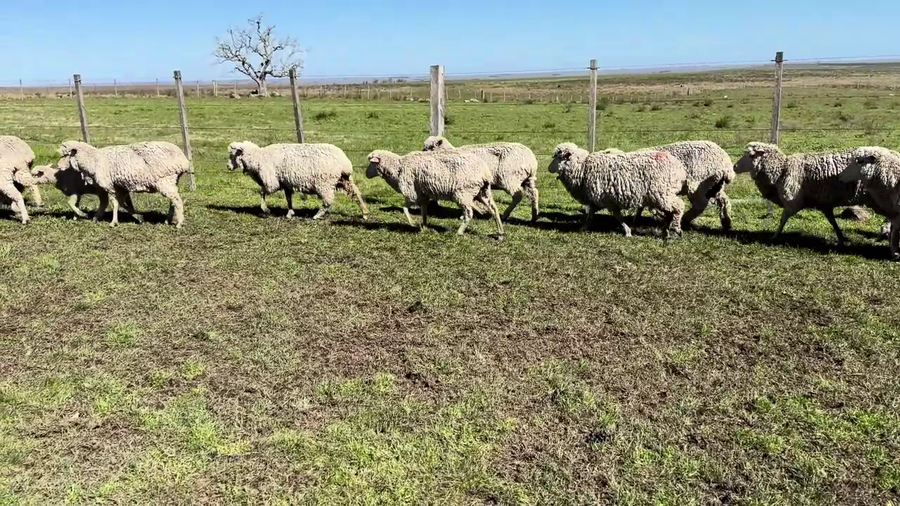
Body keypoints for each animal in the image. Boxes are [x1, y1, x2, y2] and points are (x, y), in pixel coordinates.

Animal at [56, 140, 190, 228]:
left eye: (66, 155)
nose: (57, 165)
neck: (94, 160)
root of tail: (183, 160)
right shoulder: (121, 187)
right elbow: (124, 204)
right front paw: (138, 217)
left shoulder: (110, 186)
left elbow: (114, 203)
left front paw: (113, 222)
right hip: (172, 181)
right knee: (173, 201)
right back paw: (168, 220)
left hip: (165, 180)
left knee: (177, 201)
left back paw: (179, 223)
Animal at [227, 141, 368, 220]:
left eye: (233, 155)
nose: (228, 166)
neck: (258, 158)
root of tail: (344, 162)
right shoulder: (286, 184)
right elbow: (288, 199)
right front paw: (290, 213)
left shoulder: (271, 183)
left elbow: (261, 193)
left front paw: (265, 210)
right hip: (344, 180)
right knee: (356, 194)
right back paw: (365, 212)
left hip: (325, 184)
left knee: (327, 201)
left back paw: (317, 215)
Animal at [365, 149, 504, 237]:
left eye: (371, 163)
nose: (366, 174)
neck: (398, 167)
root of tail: (484, 171)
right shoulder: (422, 194)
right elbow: (423, 211)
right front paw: (424, 225)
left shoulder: (412, 193)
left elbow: (404, 208)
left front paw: (412, 223)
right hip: (483, 192)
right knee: (494, 209)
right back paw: (500, 232)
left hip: (463, 193)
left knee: (469, 213)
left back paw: (459, 232)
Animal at [549, 143, 686, 238]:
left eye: (558, 157)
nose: (549, 168)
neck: (582, 168)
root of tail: (679, 168)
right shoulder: (600, 200)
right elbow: (591, 214)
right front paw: (584, 228)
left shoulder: (606, 199)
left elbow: (617, 216)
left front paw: (627, 231)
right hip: (660, 196)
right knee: (669, 212)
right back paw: (666, 230)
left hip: (662, 194)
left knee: (679, 206)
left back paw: (675, 229)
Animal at [733, 142, 876, 246]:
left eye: (751, 155)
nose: (734, 167)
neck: (782, 169)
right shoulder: (824, 203)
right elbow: (832, 221)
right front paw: (841, 238)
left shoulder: (793, 201)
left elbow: (782, 219)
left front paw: (774, 236)